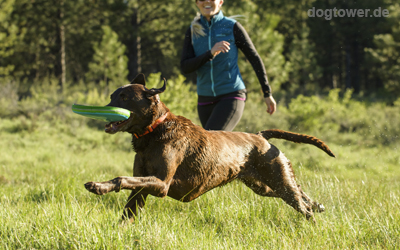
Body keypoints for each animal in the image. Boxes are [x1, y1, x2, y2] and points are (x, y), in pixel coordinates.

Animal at [84, 73, 334, 222]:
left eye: (125, 97)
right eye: (112, 95)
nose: (102, 110)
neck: (153, 132)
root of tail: (261, 136)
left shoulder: (161, 184)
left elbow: (122, 178)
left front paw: (99, 186)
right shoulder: (141, 190)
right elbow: (127, 209)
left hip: (276, 177)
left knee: (301, 205)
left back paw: (312, 219)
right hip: (263, 185)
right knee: (298, 191)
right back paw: (317, 204)